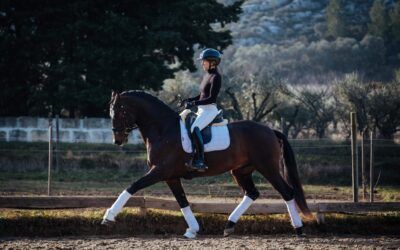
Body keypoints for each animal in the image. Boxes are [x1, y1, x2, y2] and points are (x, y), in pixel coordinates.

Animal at [102, 89, 312, 238]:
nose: (117, 140)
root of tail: (270, 130)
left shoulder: (160, 171)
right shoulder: (171, 177)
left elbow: (132, 186)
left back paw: (299, 230)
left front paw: (109, 216)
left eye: (119, 112)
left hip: (268, 168)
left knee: (287, 193)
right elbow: (182, 201)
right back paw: (229, 225)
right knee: (252, 193)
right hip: (241, 171)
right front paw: (192, 230)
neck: (163, 129)